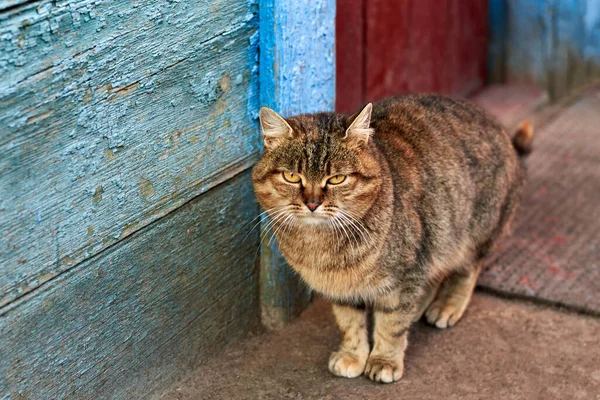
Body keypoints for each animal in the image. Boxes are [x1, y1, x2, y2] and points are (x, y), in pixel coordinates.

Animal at [251, 94, 532, 384]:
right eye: (292, 177)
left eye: (337, 178)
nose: (313, 203)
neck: (319, 245)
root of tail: (501, 130)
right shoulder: (342, 289)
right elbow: (349, 322)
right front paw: (353, 355)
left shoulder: (404, 275)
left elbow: (392, 324)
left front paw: (384, 360)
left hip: (471, 233)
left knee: (466, 271)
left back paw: (447, 305)